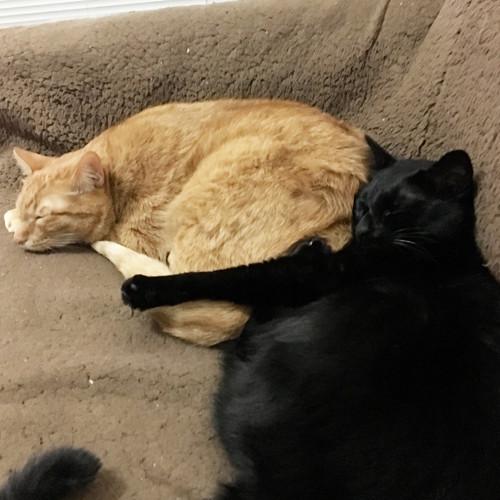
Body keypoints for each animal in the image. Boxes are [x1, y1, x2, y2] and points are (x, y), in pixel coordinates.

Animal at [4, 147, 500, 499]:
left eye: (394, 210)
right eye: (361, 206)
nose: (362, 229)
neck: (443, 256)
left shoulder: (312, 274)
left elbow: (234, 275)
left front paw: (143, 289)